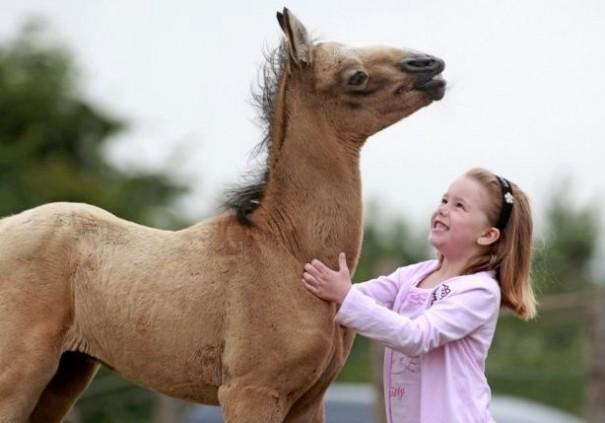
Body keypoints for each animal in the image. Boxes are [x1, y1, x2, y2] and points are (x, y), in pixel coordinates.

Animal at [0, 7, 444, 423]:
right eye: (355, 77)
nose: (431, 65)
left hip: (65, 375)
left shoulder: (308, 402)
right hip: (19, 375)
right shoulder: (251, 393)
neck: (286, 250)